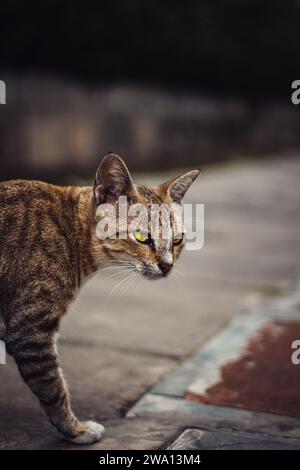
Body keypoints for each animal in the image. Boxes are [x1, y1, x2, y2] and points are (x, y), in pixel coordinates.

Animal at [0, 154, 199, 444]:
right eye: (142, 237)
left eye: (177, 240)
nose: (167, 265)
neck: (68, 231)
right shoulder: (30, 331)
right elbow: (54, 388)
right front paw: (74, 429)